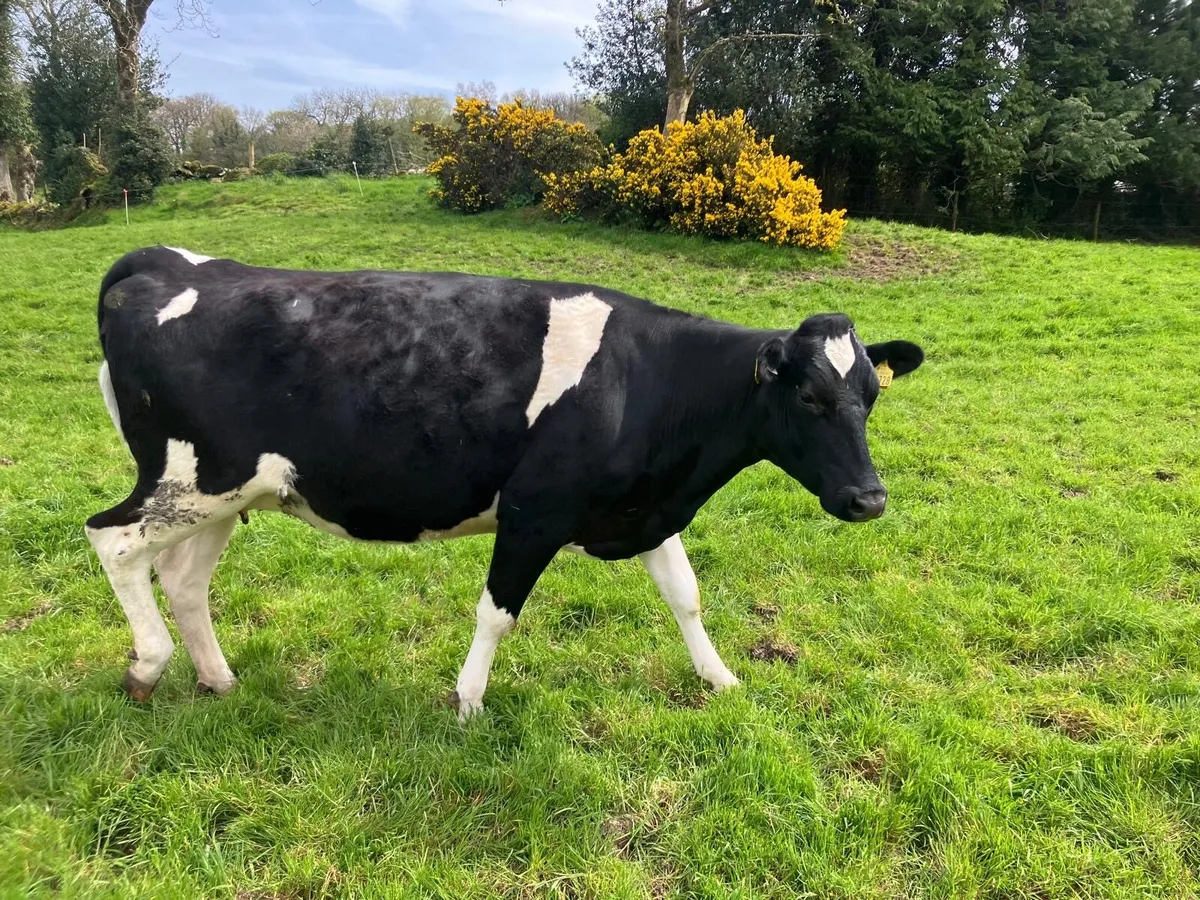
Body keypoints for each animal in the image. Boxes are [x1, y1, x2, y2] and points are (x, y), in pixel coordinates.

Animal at [85, 246, 924, 718]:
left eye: (871, 395)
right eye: (810, 398)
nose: (870, 499)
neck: (647, 383)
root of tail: (166, 261)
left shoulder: (644, 508)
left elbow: (686, 595)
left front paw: (720, 679)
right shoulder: (533, 511)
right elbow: (497, 614)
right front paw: (466, 701)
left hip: (228, 491)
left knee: (183, 578)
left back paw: (217, 679)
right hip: (193, 478)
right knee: (115, 540)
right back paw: (148, 665)